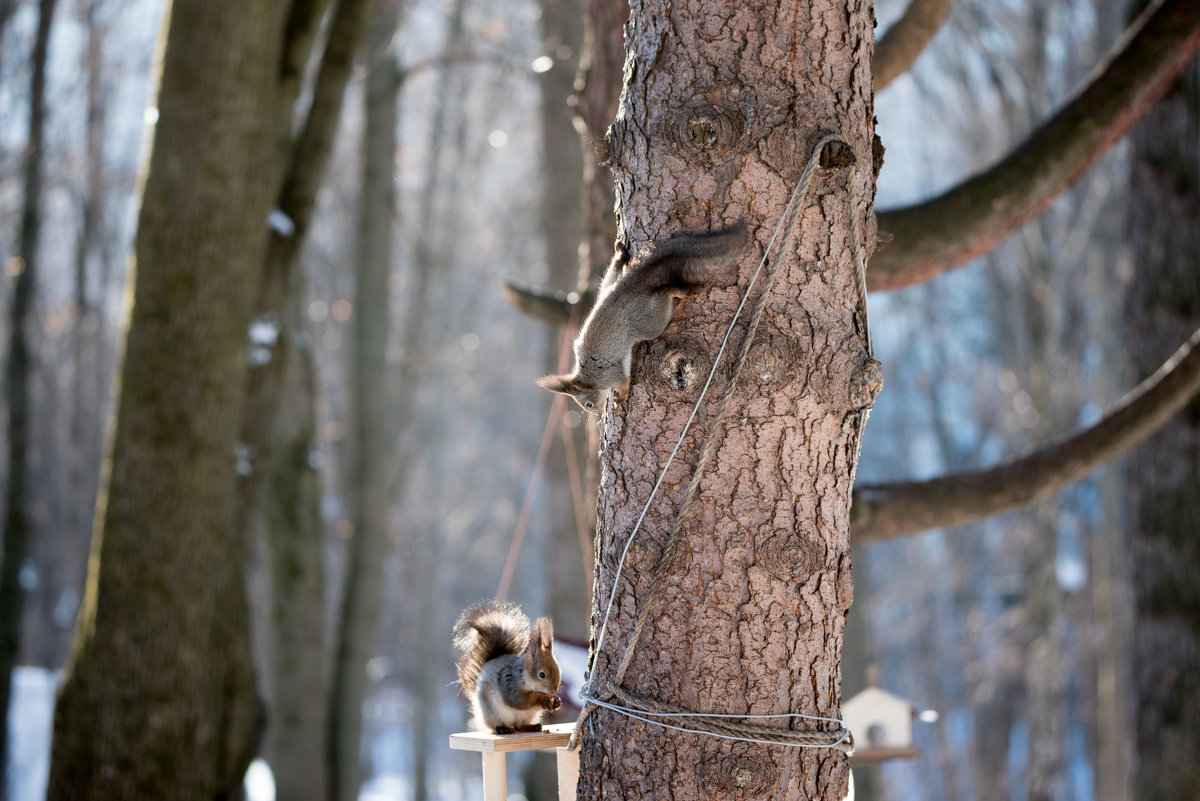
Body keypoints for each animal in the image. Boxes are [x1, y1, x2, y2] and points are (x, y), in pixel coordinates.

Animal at [451, 599, 561, 733]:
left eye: (559, 671)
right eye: (542, 674)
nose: (553, 690)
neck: (522, 675)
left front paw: (556, 702)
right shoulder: (508, 684)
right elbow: (519, 700)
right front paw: (543, 699)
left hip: (526, 716)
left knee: (519, 726)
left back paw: (531, 726)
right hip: (491, 711)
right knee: (496, 725)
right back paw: (503, 729)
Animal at [537, 221, 748, 417]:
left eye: (587, 404)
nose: (597, 413)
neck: (588, 378)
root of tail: (627, 290)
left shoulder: (611, 375)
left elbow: (624, 385)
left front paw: (619, 401)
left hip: (649, 321)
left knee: (663, 292)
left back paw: (682, 291)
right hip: (614, 292)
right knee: (614, 275)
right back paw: (620, 254)